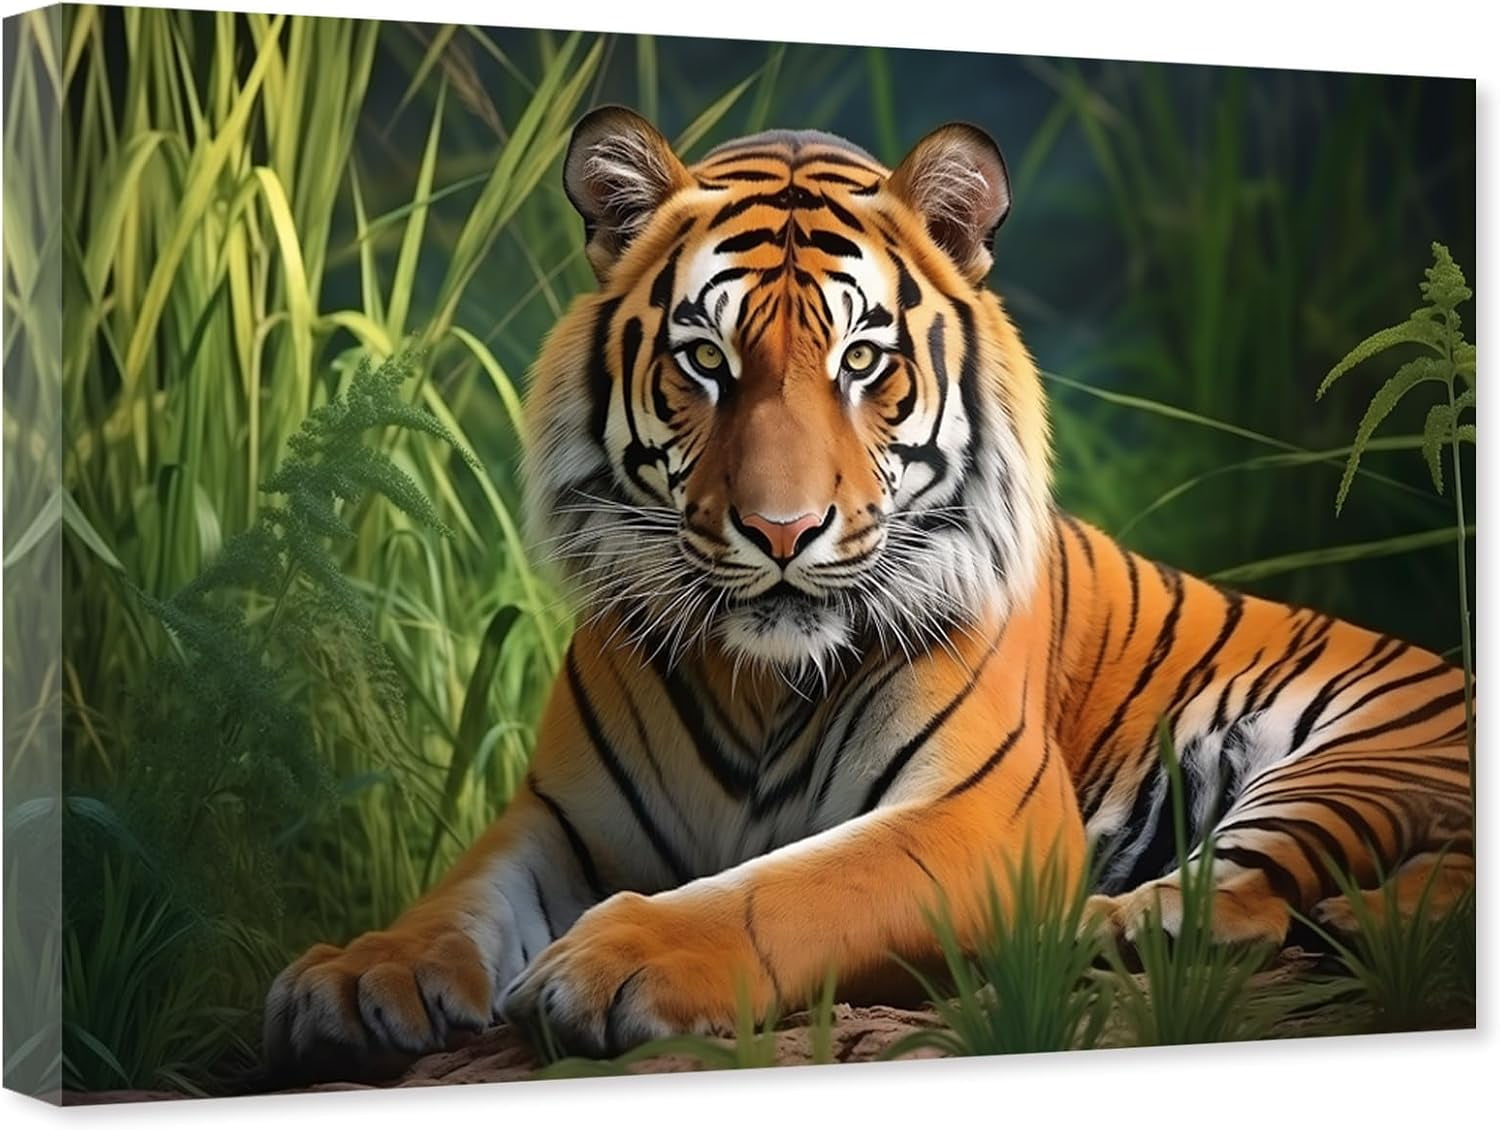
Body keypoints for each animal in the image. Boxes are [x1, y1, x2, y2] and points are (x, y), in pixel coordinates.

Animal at [263, 107, 1474, 1076]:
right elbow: (458, 896)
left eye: (861, 362)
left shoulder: (983, 813)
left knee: (1252, 896)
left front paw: (618, 958)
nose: (782, 530)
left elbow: (786, 887)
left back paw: (1133, 918)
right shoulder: (556, 817)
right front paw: (359, 976)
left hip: (1350, 758)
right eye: (706, 361)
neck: (760, 681)